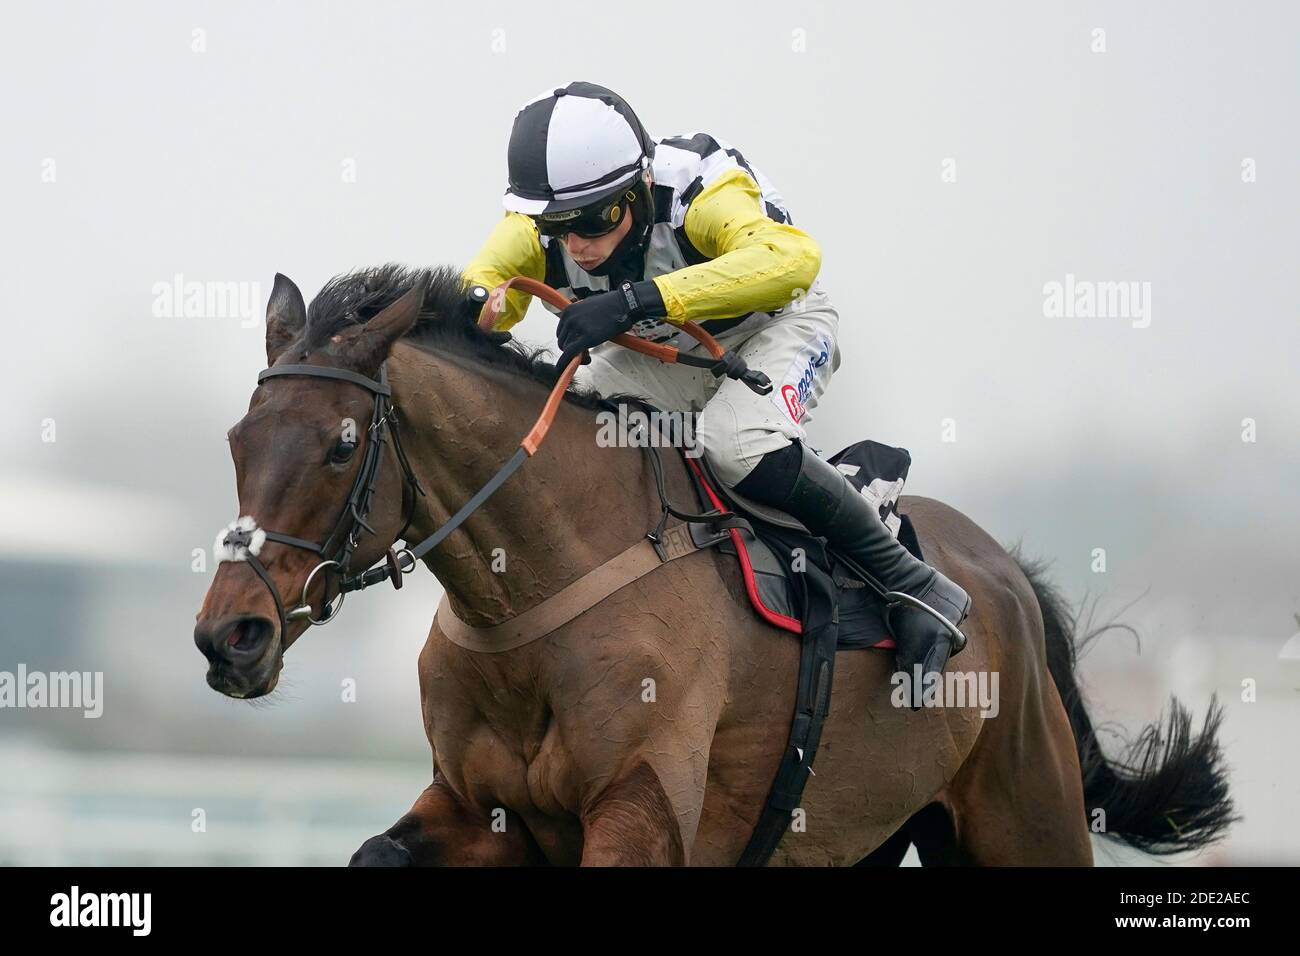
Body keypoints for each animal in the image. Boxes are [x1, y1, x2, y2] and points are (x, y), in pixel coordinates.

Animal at [189, 264, 1227, 868]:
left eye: (340, 444)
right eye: (239, 438)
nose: (228, 636)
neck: (534, 596)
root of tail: (1005, 577)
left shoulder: (641, 813)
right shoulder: (477, 808)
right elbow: (379, 853)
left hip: (1025, 814)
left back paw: (925, 602)